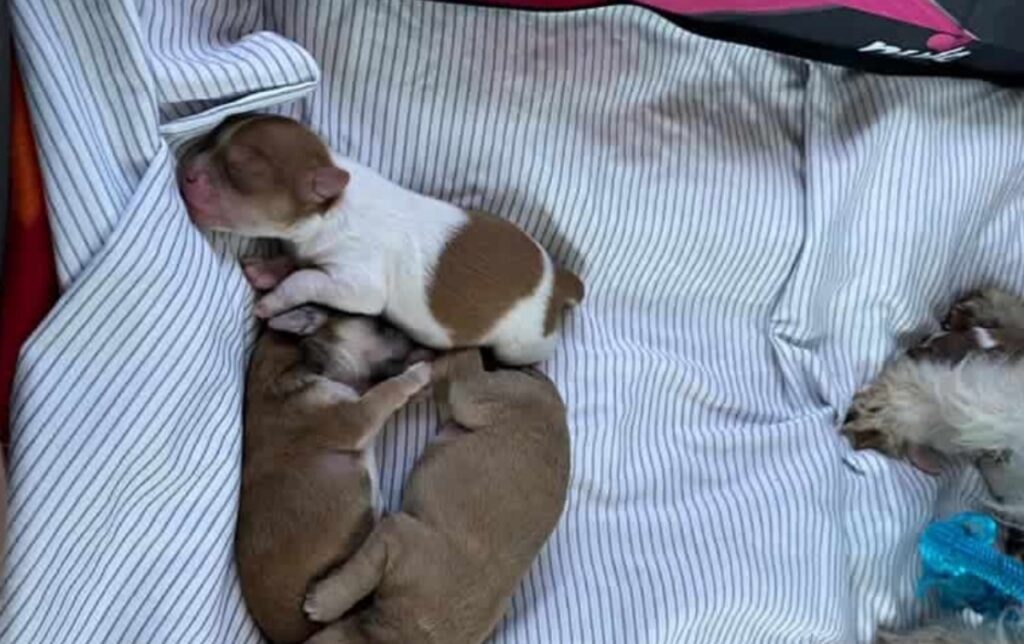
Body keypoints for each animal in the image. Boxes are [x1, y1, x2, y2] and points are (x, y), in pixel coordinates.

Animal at [176, 113, 585, 364]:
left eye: (237, 171)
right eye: (212, 138)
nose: (186, 171)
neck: (331, 206)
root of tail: (559, 279)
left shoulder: (358, 284)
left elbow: (306, 279)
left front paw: (274, 298)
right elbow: (301, 263)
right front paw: (269, 269)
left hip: (523, 344)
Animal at [237, 303, 430, 642]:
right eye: (382, 327)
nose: (416, 337)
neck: (299, 356)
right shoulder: (356, 416)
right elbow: (387, 391)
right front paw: (416, 373)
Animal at [299, 352, 573, 642]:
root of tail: (551, 394)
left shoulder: (394, 536)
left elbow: (359, 574)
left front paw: (324, 601)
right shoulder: (392, 538)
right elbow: (360, 574)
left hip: (474, 402)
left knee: (460, 372)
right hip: (477, 401)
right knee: (461, 366)